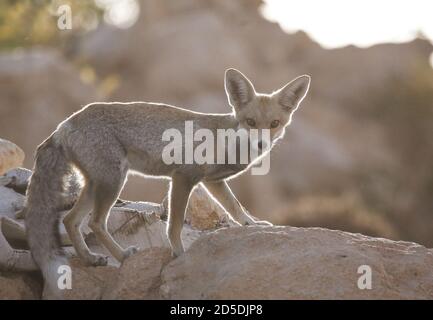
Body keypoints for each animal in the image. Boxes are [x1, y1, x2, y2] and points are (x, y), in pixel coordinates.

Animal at [23, 69, 308, 296]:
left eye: (274, 124)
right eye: (250, 122)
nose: (261, 144)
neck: (225, 141)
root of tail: (64, 124)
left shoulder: (212, 181)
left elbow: (235, 206)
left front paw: (252, 224)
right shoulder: (183, 177)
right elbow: (175, 225)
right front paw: (180, 255)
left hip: (96, 184)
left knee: (71, 220)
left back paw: (89, 258)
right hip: (113, 181)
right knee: (95, 222)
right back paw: (123, 256)